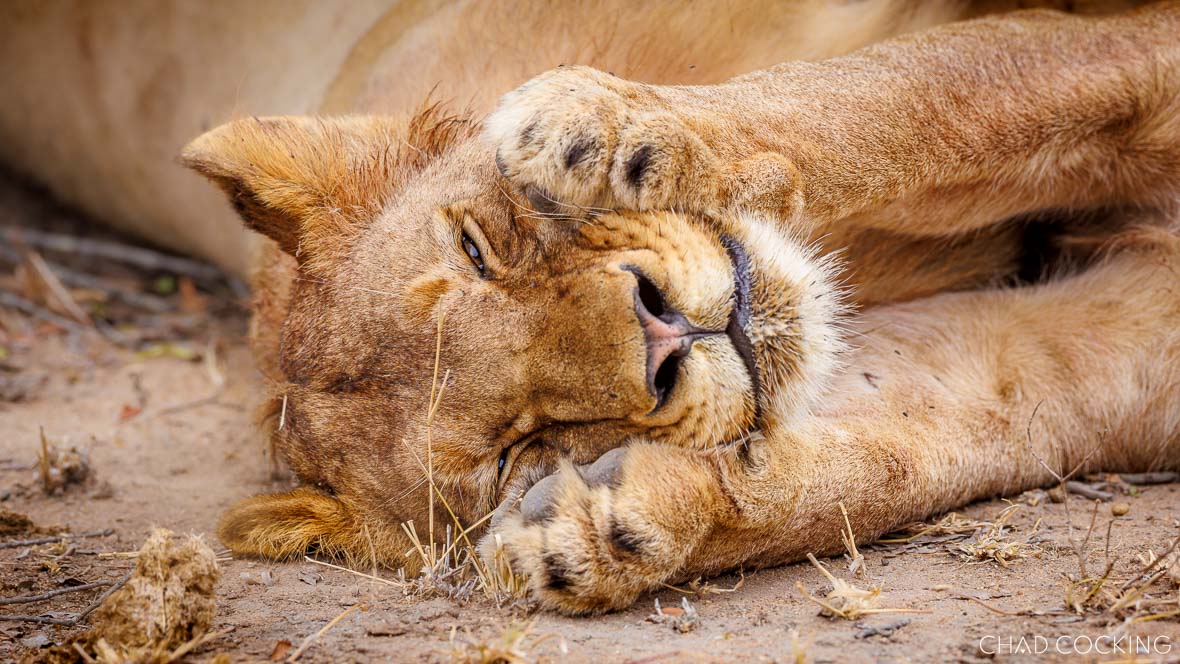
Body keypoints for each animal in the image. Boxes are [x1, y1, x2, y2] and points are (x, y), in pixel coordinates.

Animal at [4, 1, 1179, 615]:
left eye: (477, 250)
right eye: (519, 448)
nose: (664, 330)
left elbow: (934, 86)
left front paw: (603, 126)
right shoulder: (1135, 325)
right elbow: (944, 433)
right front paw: (603, 527)